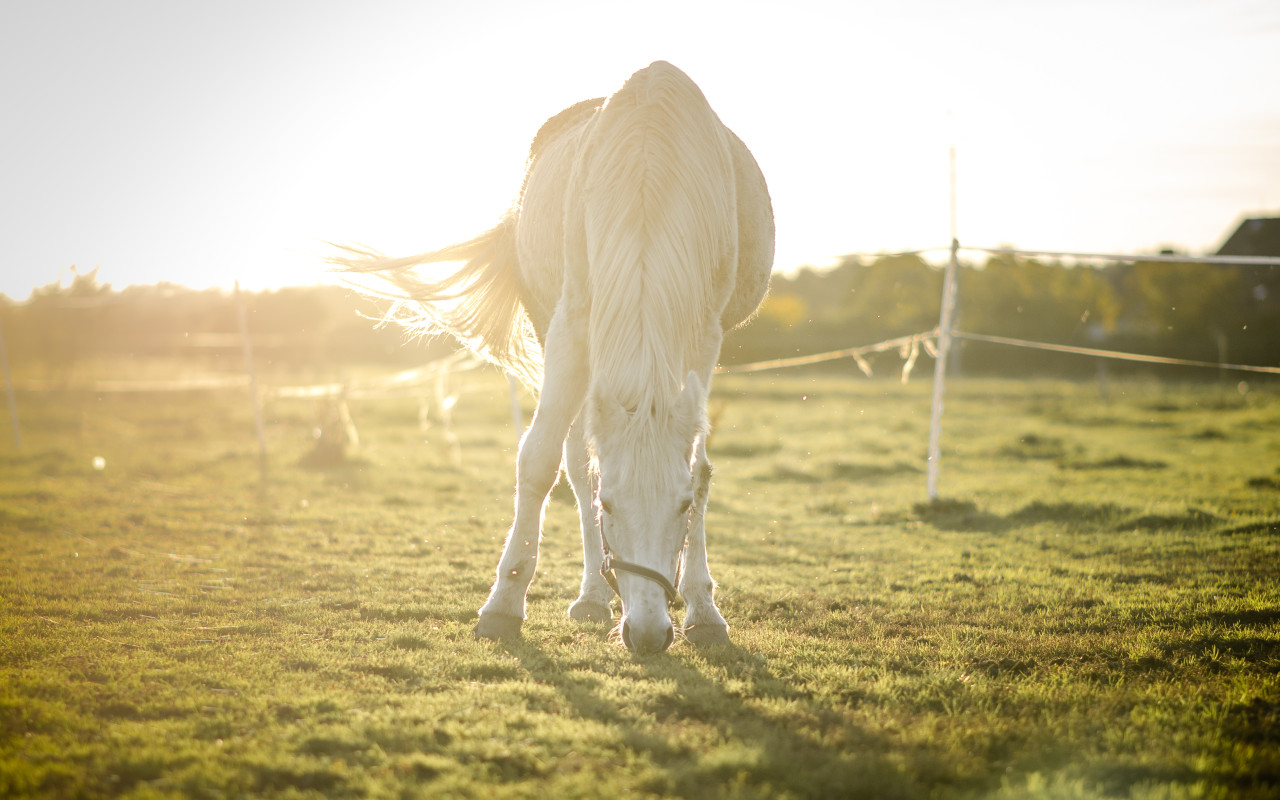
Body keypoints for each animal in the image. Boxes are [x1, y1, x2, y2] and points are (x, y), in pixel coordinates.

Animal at [332, 60, 768, 650]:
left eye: (679, 507)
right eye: (610, 505)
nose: (649, 634)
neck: (650, 173)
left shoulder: (703, 338)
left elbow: (699, 470)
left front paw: (703, 608)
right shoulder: (571, 328)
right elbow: (539, 461)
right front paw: (503, 605)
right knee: (577, 463)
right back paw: (591, 597)